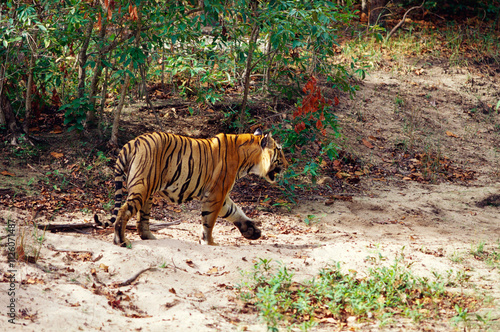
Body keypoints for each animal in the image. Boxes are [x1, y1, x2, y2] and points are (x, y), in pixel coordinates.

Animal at [95, 128, 288, 248]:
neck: (248, 159)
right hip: (142, 187)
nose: (287, 165)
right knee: (124, 211)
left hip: (147, 192)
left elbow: (235, 211)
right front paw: (209, 243)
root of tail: (132, 142)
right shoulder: (216, 194)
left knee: (142, 219)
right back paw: (121, 241)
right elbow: (209, 221)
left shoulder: (221, 195)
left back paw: (150, 238)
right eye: (280, 151)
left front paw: (252, 231)